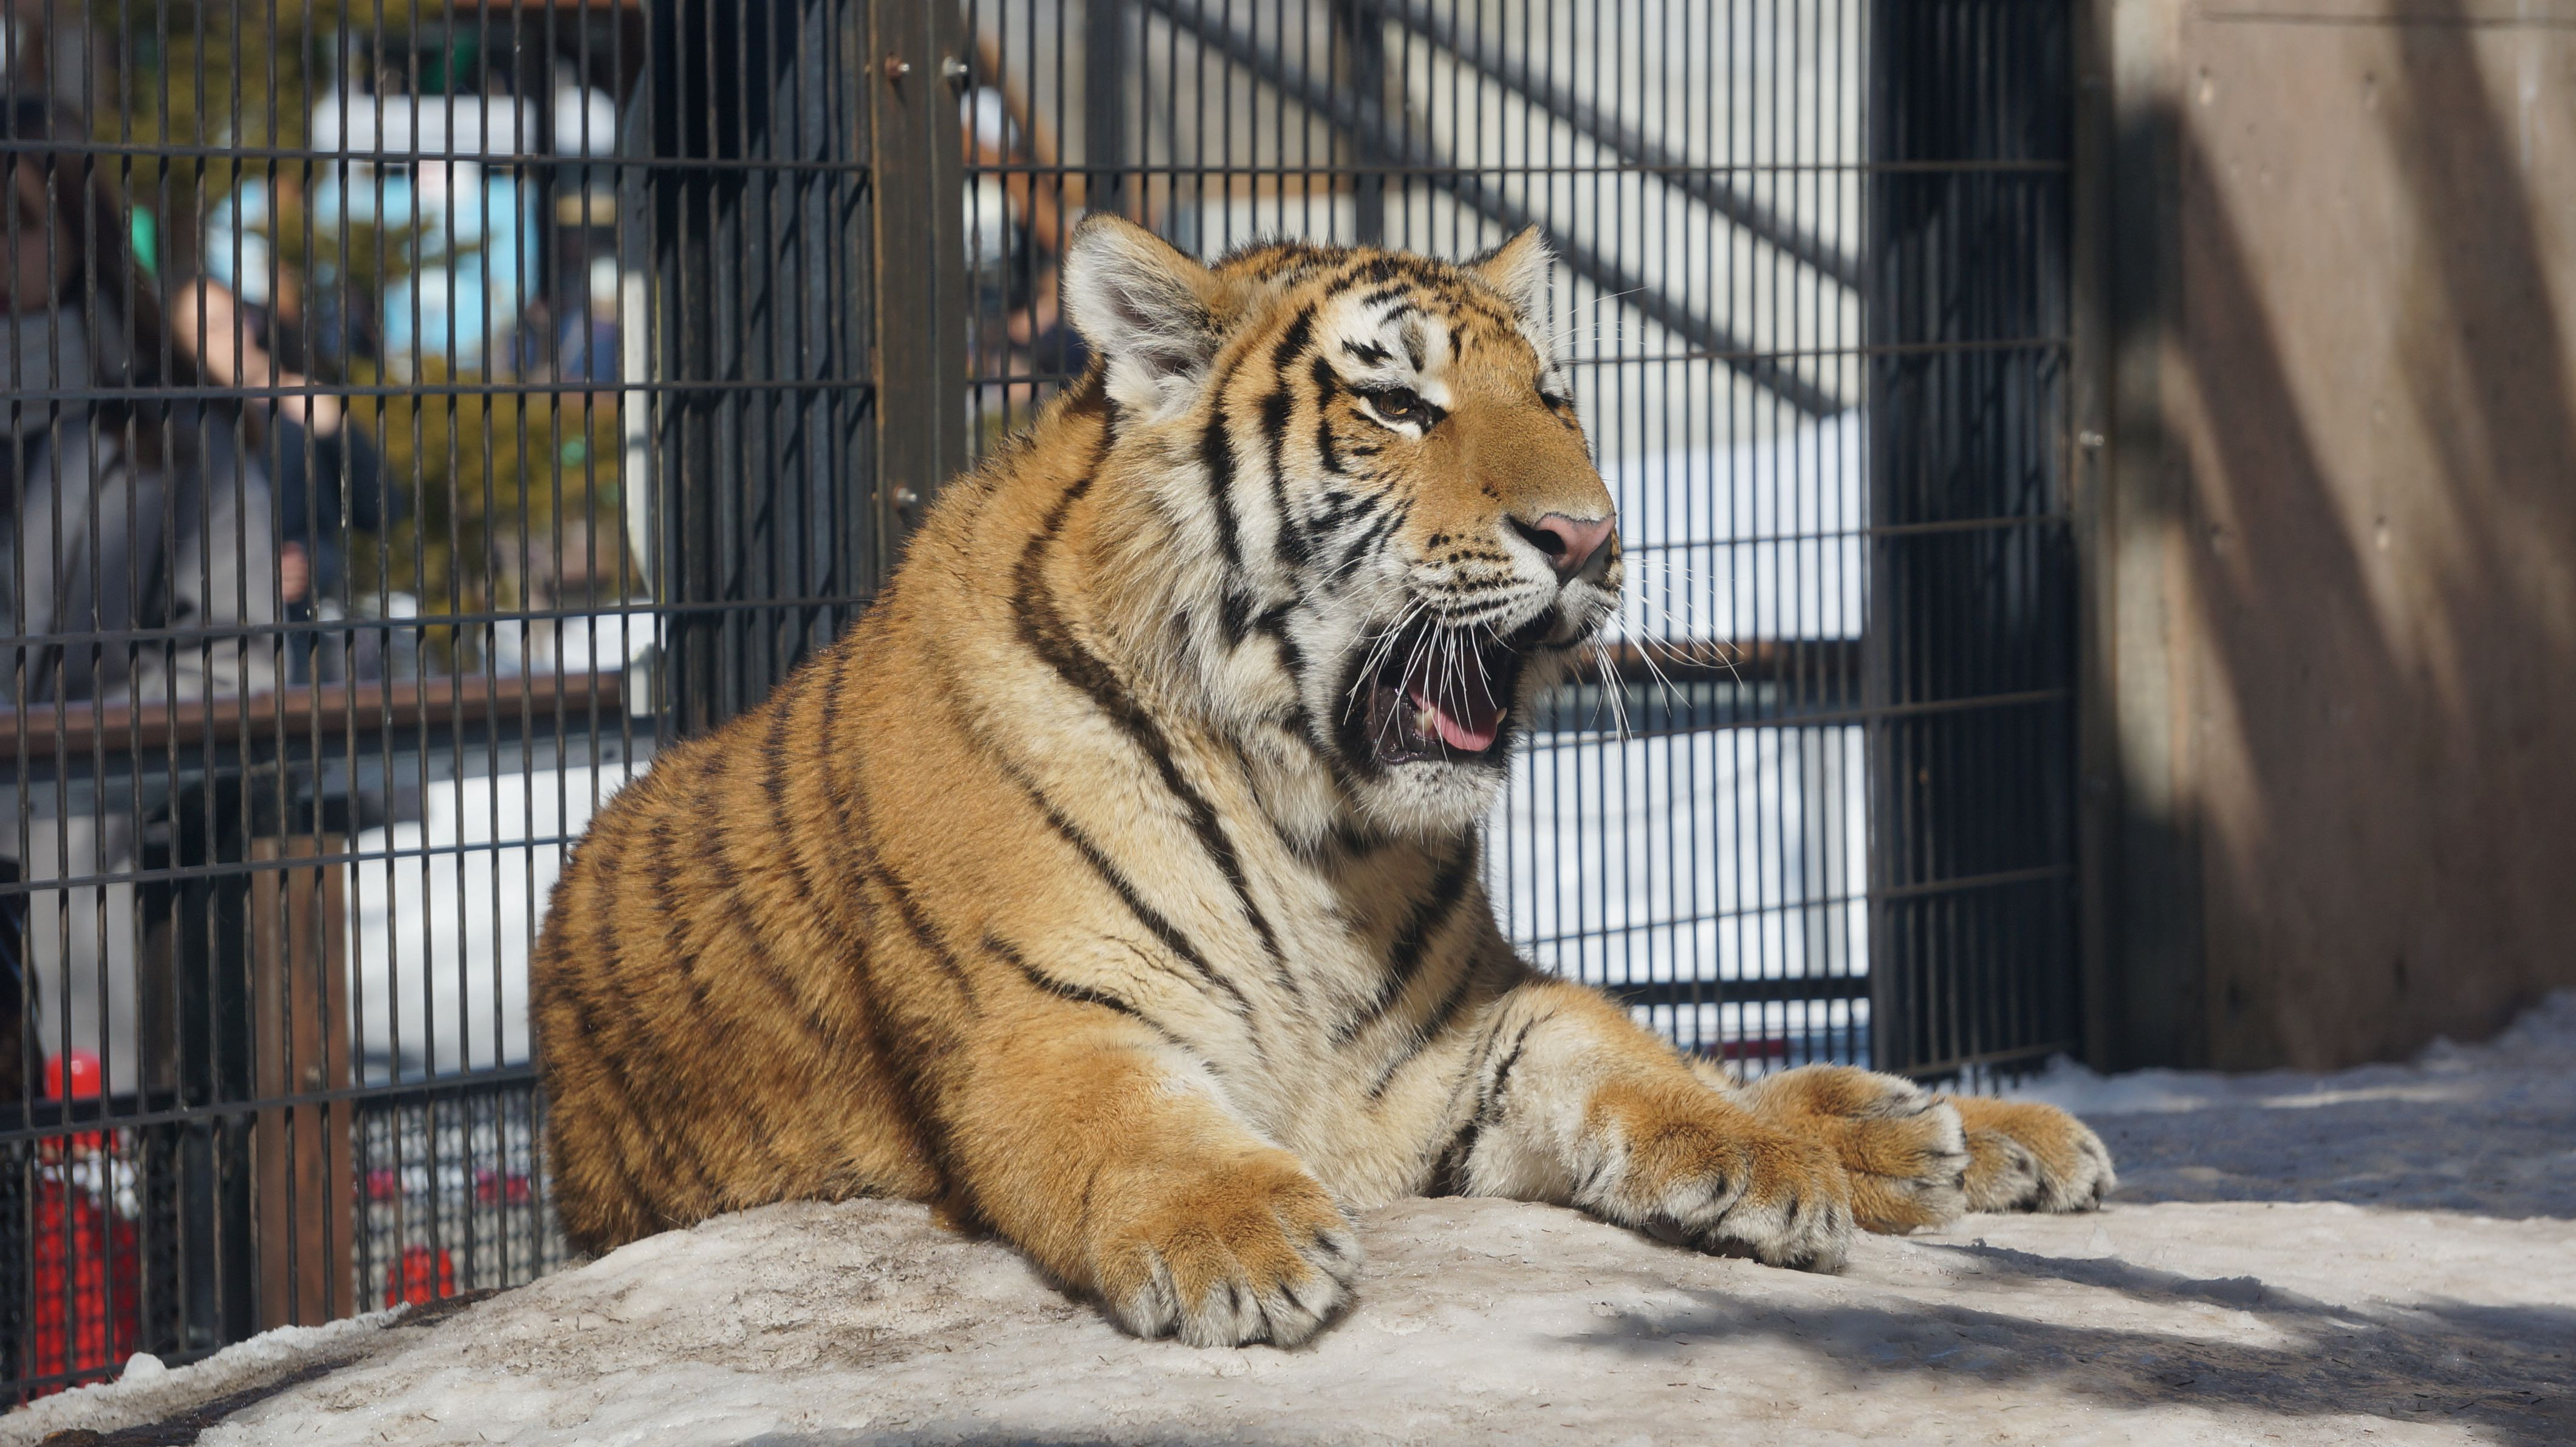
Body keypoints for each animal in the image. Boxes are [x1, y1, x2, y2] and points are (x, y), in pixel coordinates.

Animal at [530, 216, 2115, 1349]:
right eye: (1399, 403)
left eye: (1553, 400)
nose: (1590, 539)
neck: (1316, 833)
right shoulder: (1040, 1020)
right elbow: (1133, 1120)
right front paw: (1241, 1234)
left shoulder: (1459, 1034)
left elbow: (1625, 1056)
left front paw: (1756, 1155)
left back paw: (1935, 1131)